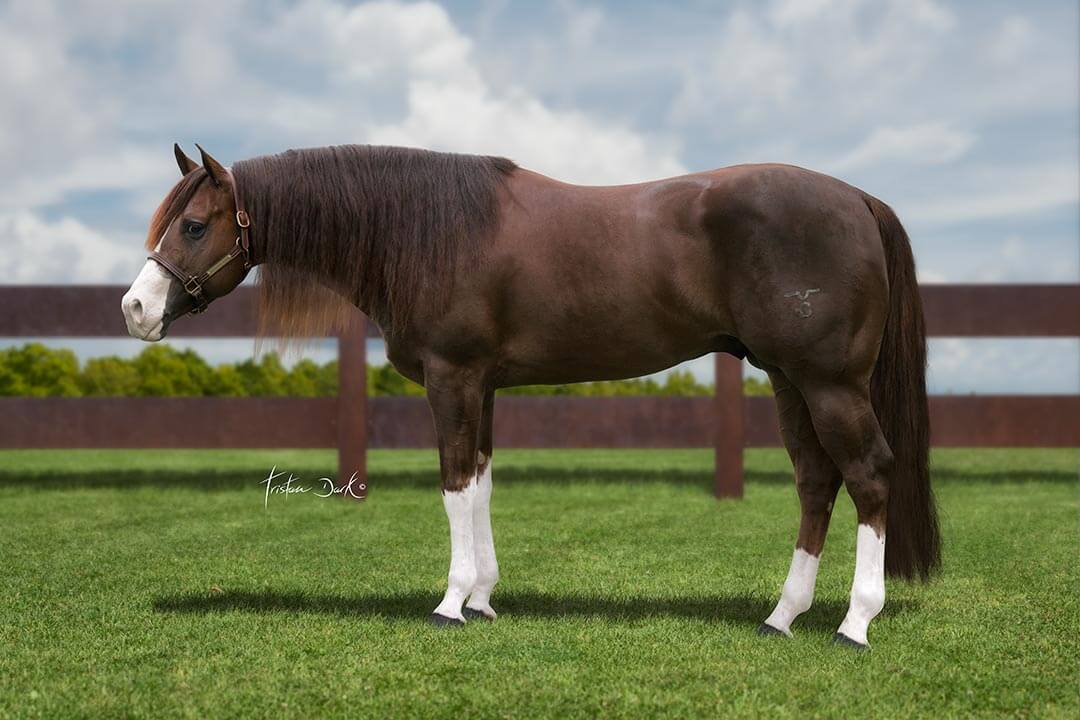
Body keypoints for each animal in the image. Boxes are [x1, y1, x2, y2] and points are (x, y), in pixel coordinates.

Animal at [122, 143, 940, 648]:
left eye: (193, 224)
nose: (133, 309)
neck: (430, 235)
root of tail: (857, 198)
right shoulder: (481, 385)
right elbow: (481, 483)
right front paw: (484, 600)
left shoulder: (453, 378)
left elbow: (454, 485)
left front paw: (450, 604)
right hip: (789, 380)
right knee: (816, 483)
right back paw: (782, 616)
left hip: (828, 382)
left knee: (868, 475)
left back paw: (854, 624)